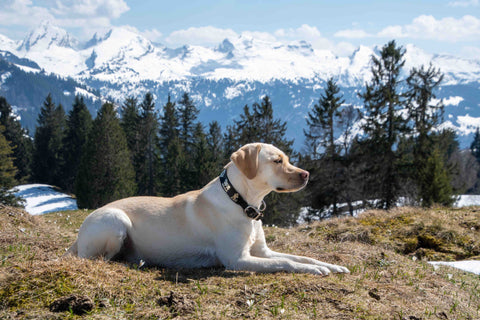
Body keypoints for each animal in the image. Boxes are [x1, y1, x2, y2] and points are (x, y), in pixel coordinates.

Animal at [66, 142, 348, 276]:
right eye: (277, 161)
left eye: (287, 159)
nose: (307, 174)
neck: (241, 202)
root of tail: (78, 236)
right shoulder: (238, 260)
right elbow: (286, 263)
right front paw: (315, 270)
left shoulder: (262, 252)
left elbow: (301, 257)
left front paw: (329, 266)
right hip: (116, 222)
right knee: (97, 258)